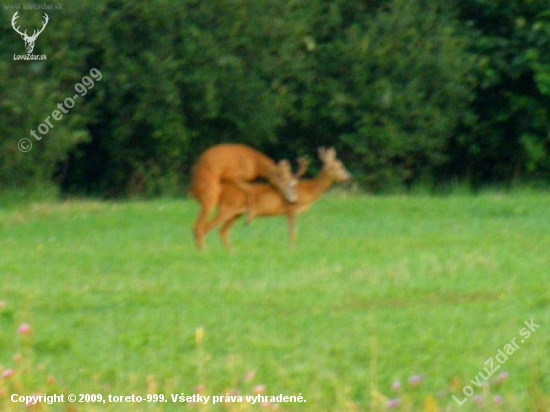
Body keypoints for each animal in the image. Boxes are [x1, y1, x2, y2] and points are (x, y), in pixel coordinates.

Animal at [204, 148, 354, 251]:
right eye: (338, 167)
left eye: (342, 165)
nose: (349, 178)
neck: (308, 191)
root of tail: (222, 190)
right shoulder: (292, 209)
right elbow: (292, 231)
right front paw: (293, 249)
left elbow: (290, 231)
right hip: (227, 208)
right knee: (207, 227)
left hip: (236, 214)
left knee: (222, 231)